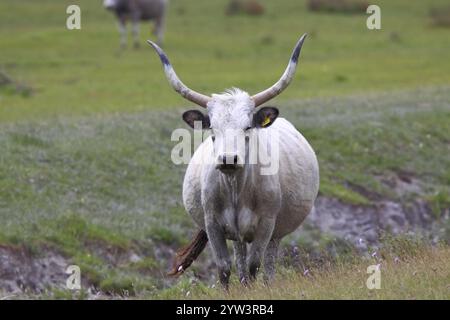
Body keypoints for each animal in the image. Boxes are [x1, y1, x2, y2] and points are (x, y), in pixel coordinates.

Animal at [148, 34, 320, 288]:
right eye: (212, 129)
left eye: (247, 126)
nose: (228, 159)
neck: (236, 187)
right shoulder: (213, 225)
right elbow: (224, 268)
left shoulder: (266, 224)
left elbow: (254, 265)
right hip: (237, 233)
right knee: (239, 259)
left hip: (276, 232)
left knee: (268, 264)